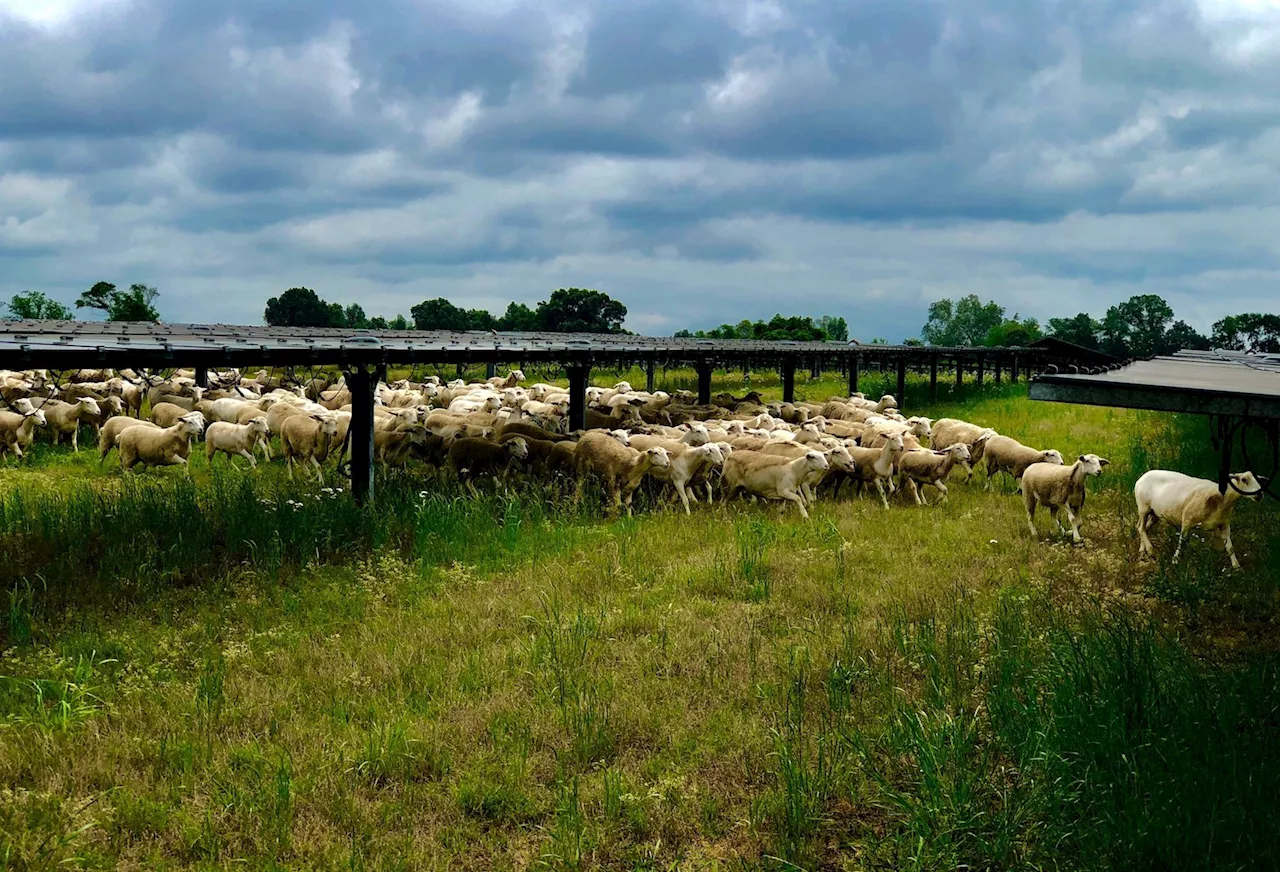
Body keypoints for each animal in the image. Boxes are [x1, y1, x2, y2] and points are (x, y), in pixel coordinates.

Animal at [1136, 466, 1264, 568]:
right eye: (1244, 479)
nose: (1259, 494)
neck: (1220, 498)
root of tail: (1142, 477)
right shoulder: (1187, 519)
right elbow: (1182, 541)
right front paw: (1175, 560)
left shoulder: (1224, 523)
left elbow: (1229, 547)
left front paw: (1236, 566)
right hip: (1143, 508)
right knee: (1141, 528)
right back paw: (1150, 549)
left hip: (1154, 514)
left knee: (1142, 528)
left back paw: (1142, 550)